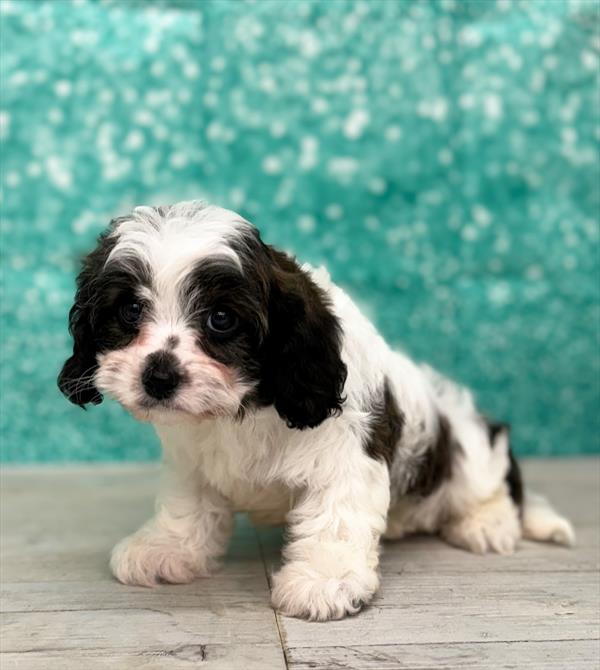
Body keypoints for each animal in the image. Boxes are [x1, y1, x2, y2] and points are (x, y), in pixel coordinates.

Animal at [58, 200, 576, 624]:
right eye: (129, 310)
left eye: (221, 319)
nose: (158, 376)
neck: (250, 403)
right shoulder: (190, 458)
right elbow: (188, 504)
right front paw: (169, 547)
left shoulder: (348, 450)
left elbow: (337, 514)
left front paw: (325, 581)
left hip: (469, 446)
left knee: (488, 483)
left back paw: (486, 523)